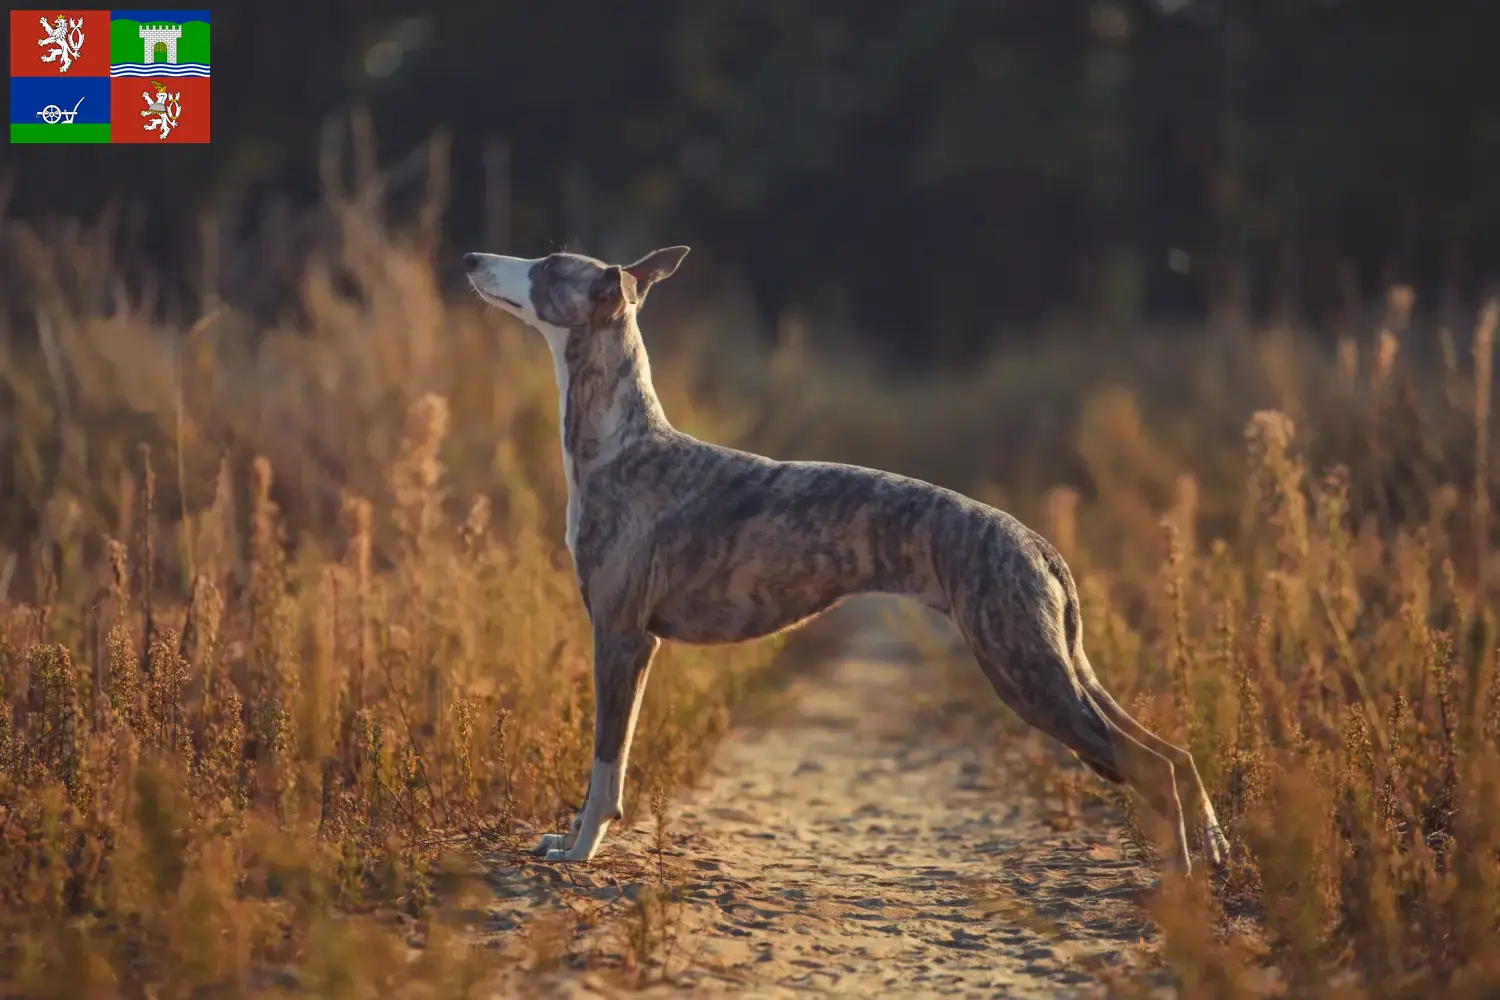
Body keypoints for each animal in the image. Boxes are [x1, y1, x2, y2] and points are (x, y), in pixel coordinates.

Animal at [459, 244, 1230, 875]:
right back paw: (1211, 853)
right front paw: (570, 841)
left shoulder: (620, 637)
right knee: (1177, 754)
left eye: (547, 265)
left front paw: (581, 852)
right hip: (1061, 665)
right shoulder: (637, 643)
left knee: (1151, 768)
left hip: (1026, 672)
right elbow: (611, 767)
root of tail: (1035, 543)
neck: (623, 444)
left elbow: (604, 765)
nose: (470, 257)